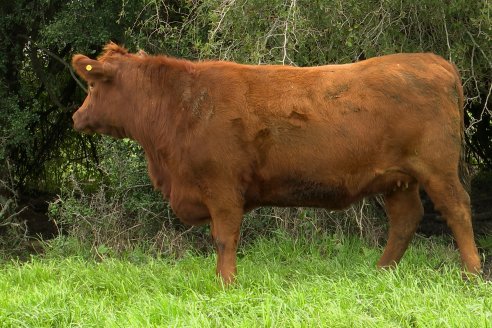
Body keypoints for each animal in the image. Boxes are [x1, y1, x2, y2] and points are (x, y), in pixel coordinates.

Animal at [72, 43, 480, 284]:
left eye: (91, 86)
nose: (76, 117)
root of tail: (434, 60)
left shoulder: (222, 188)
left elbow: (224, 238)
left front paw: (226, 283)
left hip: (437, 168)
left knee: (457, 209)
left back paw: (472, 274)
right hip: (397, 179)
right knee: (406, 219)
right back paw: (381, 272)